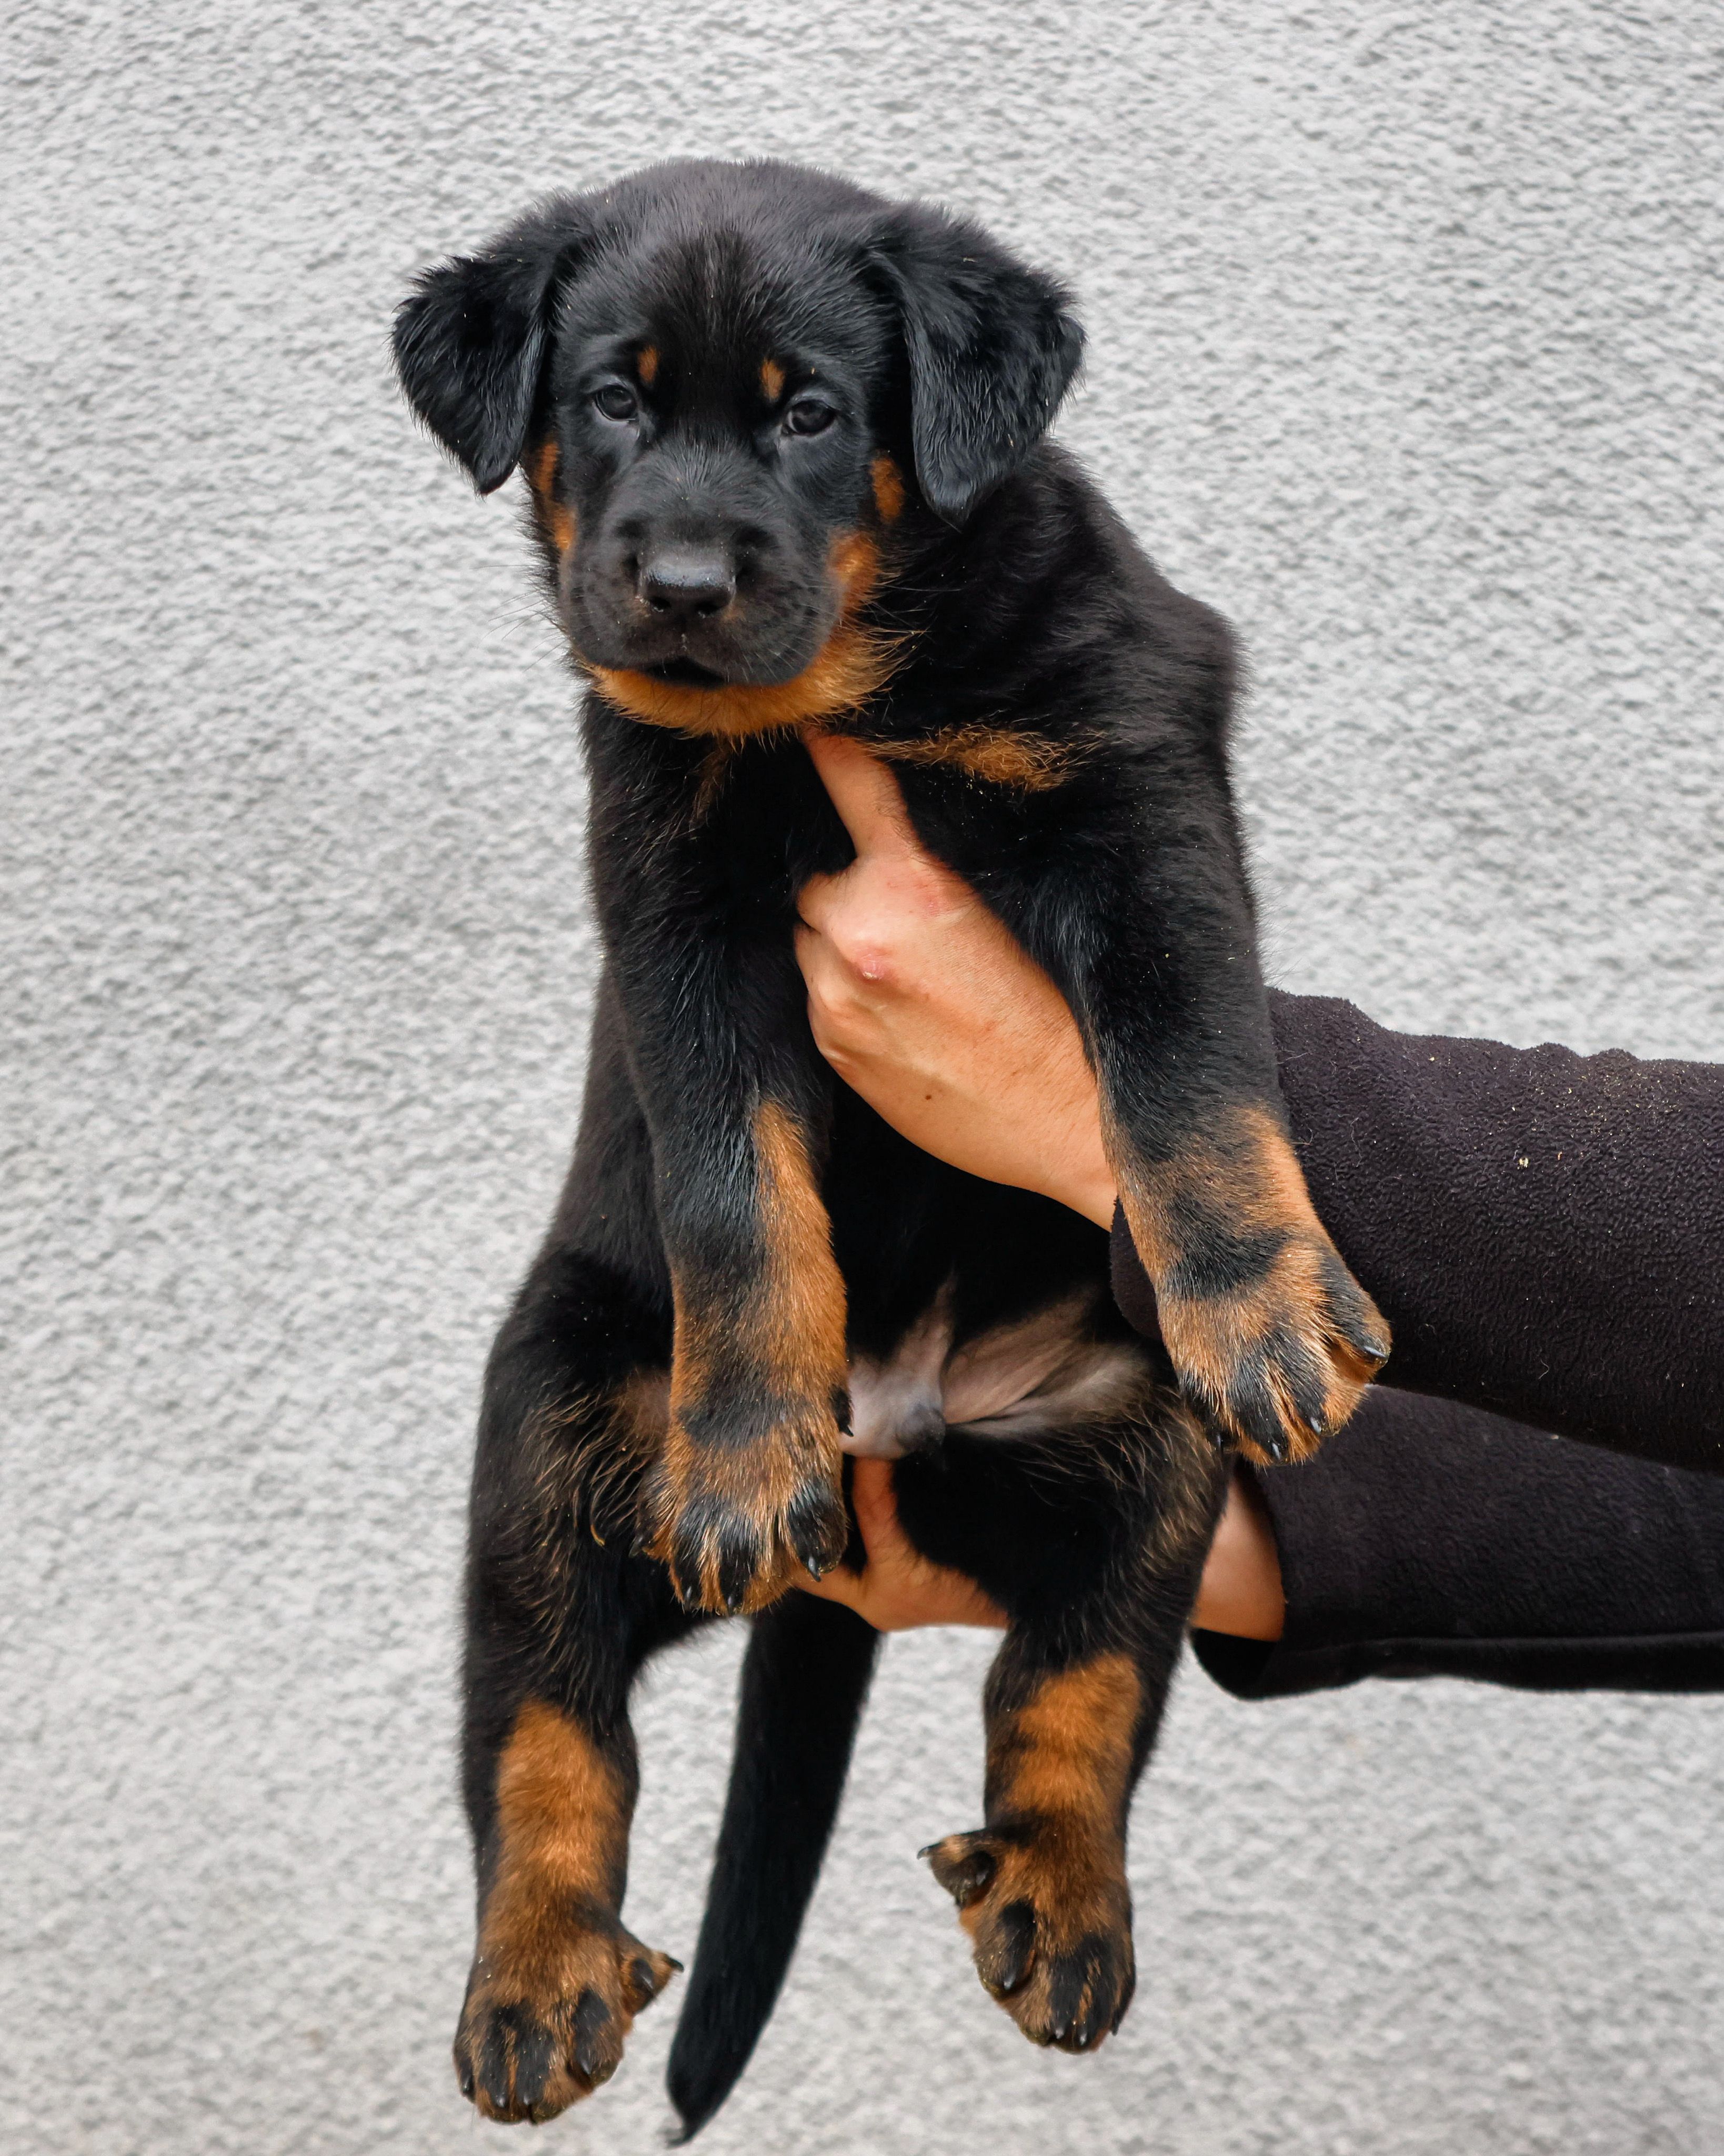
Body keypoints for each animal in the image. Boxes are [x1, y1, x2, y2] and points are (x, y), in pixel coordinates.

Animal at [393, 158, 1389, 2135]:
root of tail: (899, 1421)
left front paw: (1258, 1306)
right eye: (609, 399)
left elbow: (1183, 1076)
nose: (681, 586)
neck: (838, 698)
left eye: (811, 415)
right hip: (545, 1425)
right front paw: (736, 1452)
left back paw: (1061, 1896)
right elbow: (734, 1193)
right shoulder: (680, 914)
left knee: (1078, 1679)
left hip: (1143, 1448)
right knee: (544, 1721)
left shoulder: (1136, 803)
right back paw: (539, 1968)